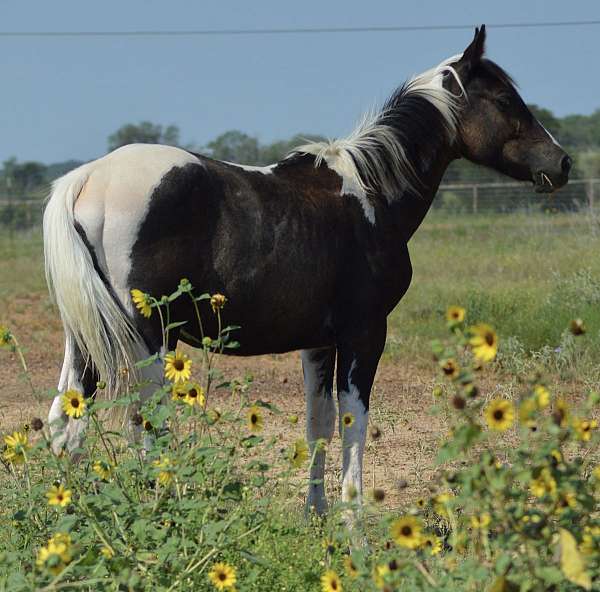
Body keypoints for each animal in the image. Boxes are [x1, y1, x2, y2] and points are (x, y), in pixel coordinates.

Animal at [44, 25, 568, 512]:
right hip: (150, 341)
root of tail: (89, 178)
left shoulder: (318, 343)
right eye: (504, 99)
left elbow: (320, 424)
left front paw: (315, 517)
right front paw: (353, 527)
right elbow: (354, 425)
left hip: (88, 338)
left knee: (65, 423)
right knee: (145, 426)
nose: (561, 163)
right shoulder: (364, 335)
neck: (371, 196)